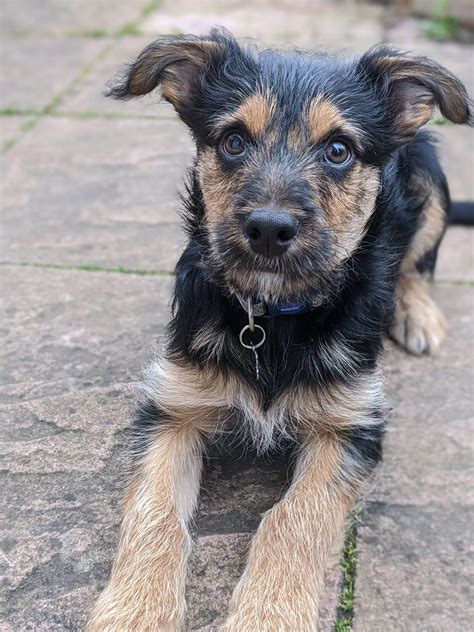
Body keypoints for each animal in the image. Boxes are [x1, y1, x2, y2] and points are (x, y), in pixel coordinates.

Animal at [87, 27, 472, 628]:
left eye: (338, 150)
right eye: (233, 142)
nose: (269, 228)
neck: (271, 315)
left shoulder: (351, 426)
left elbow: (295, 516)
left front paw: (269, 614)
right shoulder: (172, 406)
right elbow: (154, 511)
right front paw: (133, 611)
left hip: (431, 182)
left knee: (418, 264)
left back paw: (418, 314)